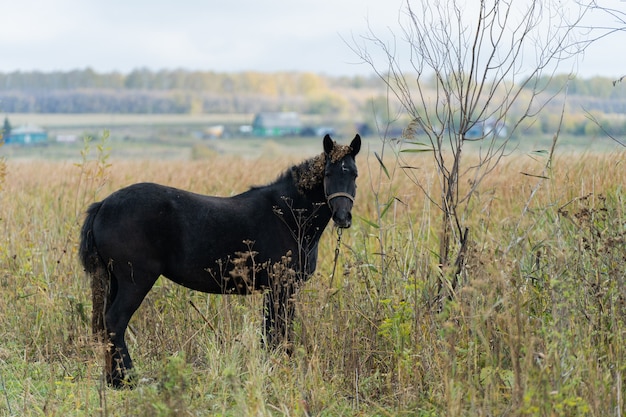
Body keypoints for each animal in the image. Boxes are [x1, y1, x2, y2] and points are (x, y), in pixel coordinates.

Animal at [78, 134, 360, 386]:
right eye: (328, 174)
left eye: (354, 174)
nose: (343, 217)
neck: (288, 216)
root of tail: (102, 205)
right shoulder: (280, 286)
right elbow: (276, 331)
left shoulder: (281, 289)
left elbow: (275, 329)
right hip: (135, 281)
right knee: (116, 321)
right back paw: (128, 379)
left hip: (115, 280)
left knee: (107, 324)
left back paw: (114, 379)